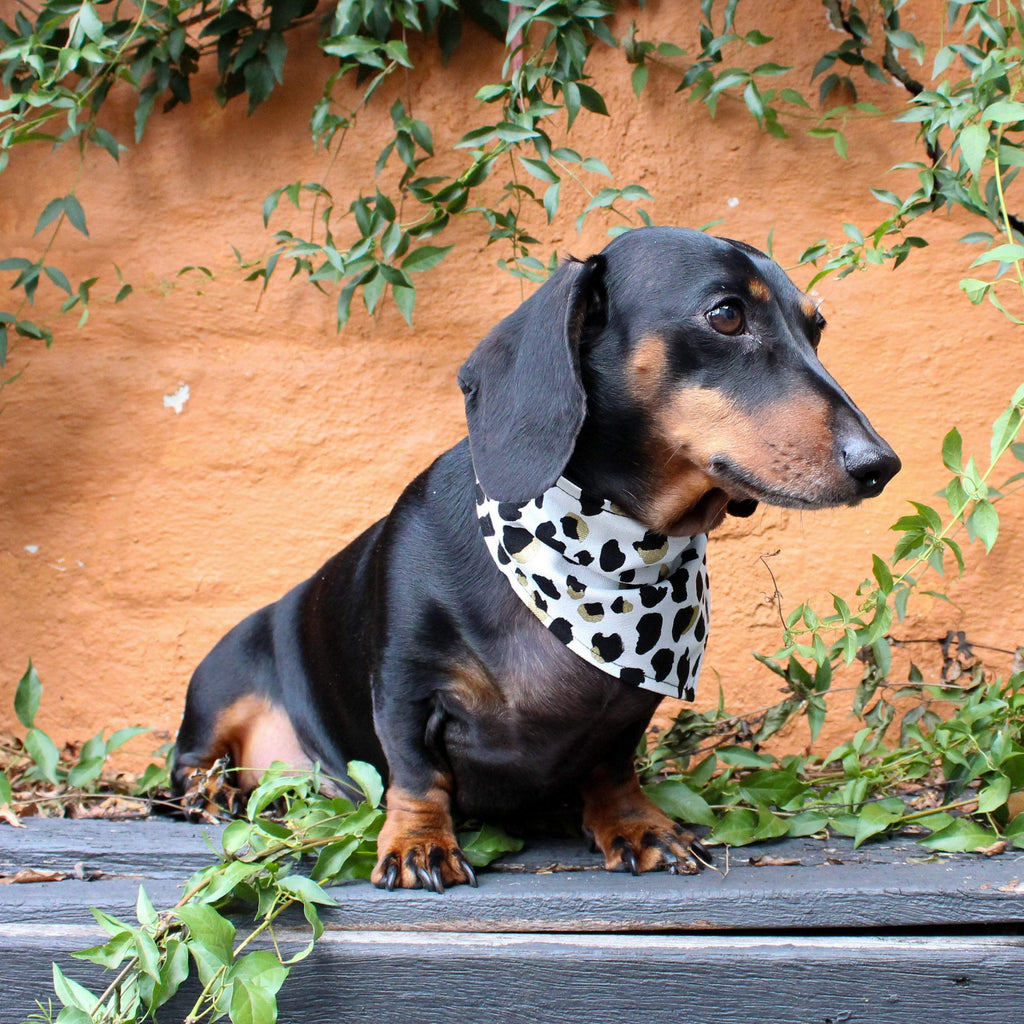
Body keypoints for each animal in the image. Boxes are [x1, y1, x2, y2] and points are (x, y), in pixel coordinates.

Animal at [172, 224, 901, 888]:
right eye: (726, 314)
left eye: (816, 328)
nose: (880, 465)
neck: (605, 554)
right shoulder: (405, 680)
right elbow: (415, 770)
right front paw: (417, 842)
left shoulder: (627, 710)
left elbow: (611, 767)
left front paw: (636, 825)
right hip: (221, 681)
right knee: (186, 762)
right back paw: (211, 790)